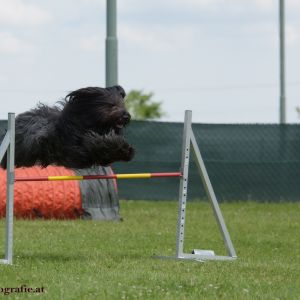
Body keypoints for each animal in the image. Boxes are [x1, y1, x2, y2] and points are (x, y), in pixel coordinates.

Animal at [0, 85, 134, 169]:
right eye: (112, 105)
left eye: (123, 105)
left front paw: (126, 150)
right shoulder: (75, 148)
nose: (126, 116)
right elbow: (96, 145)